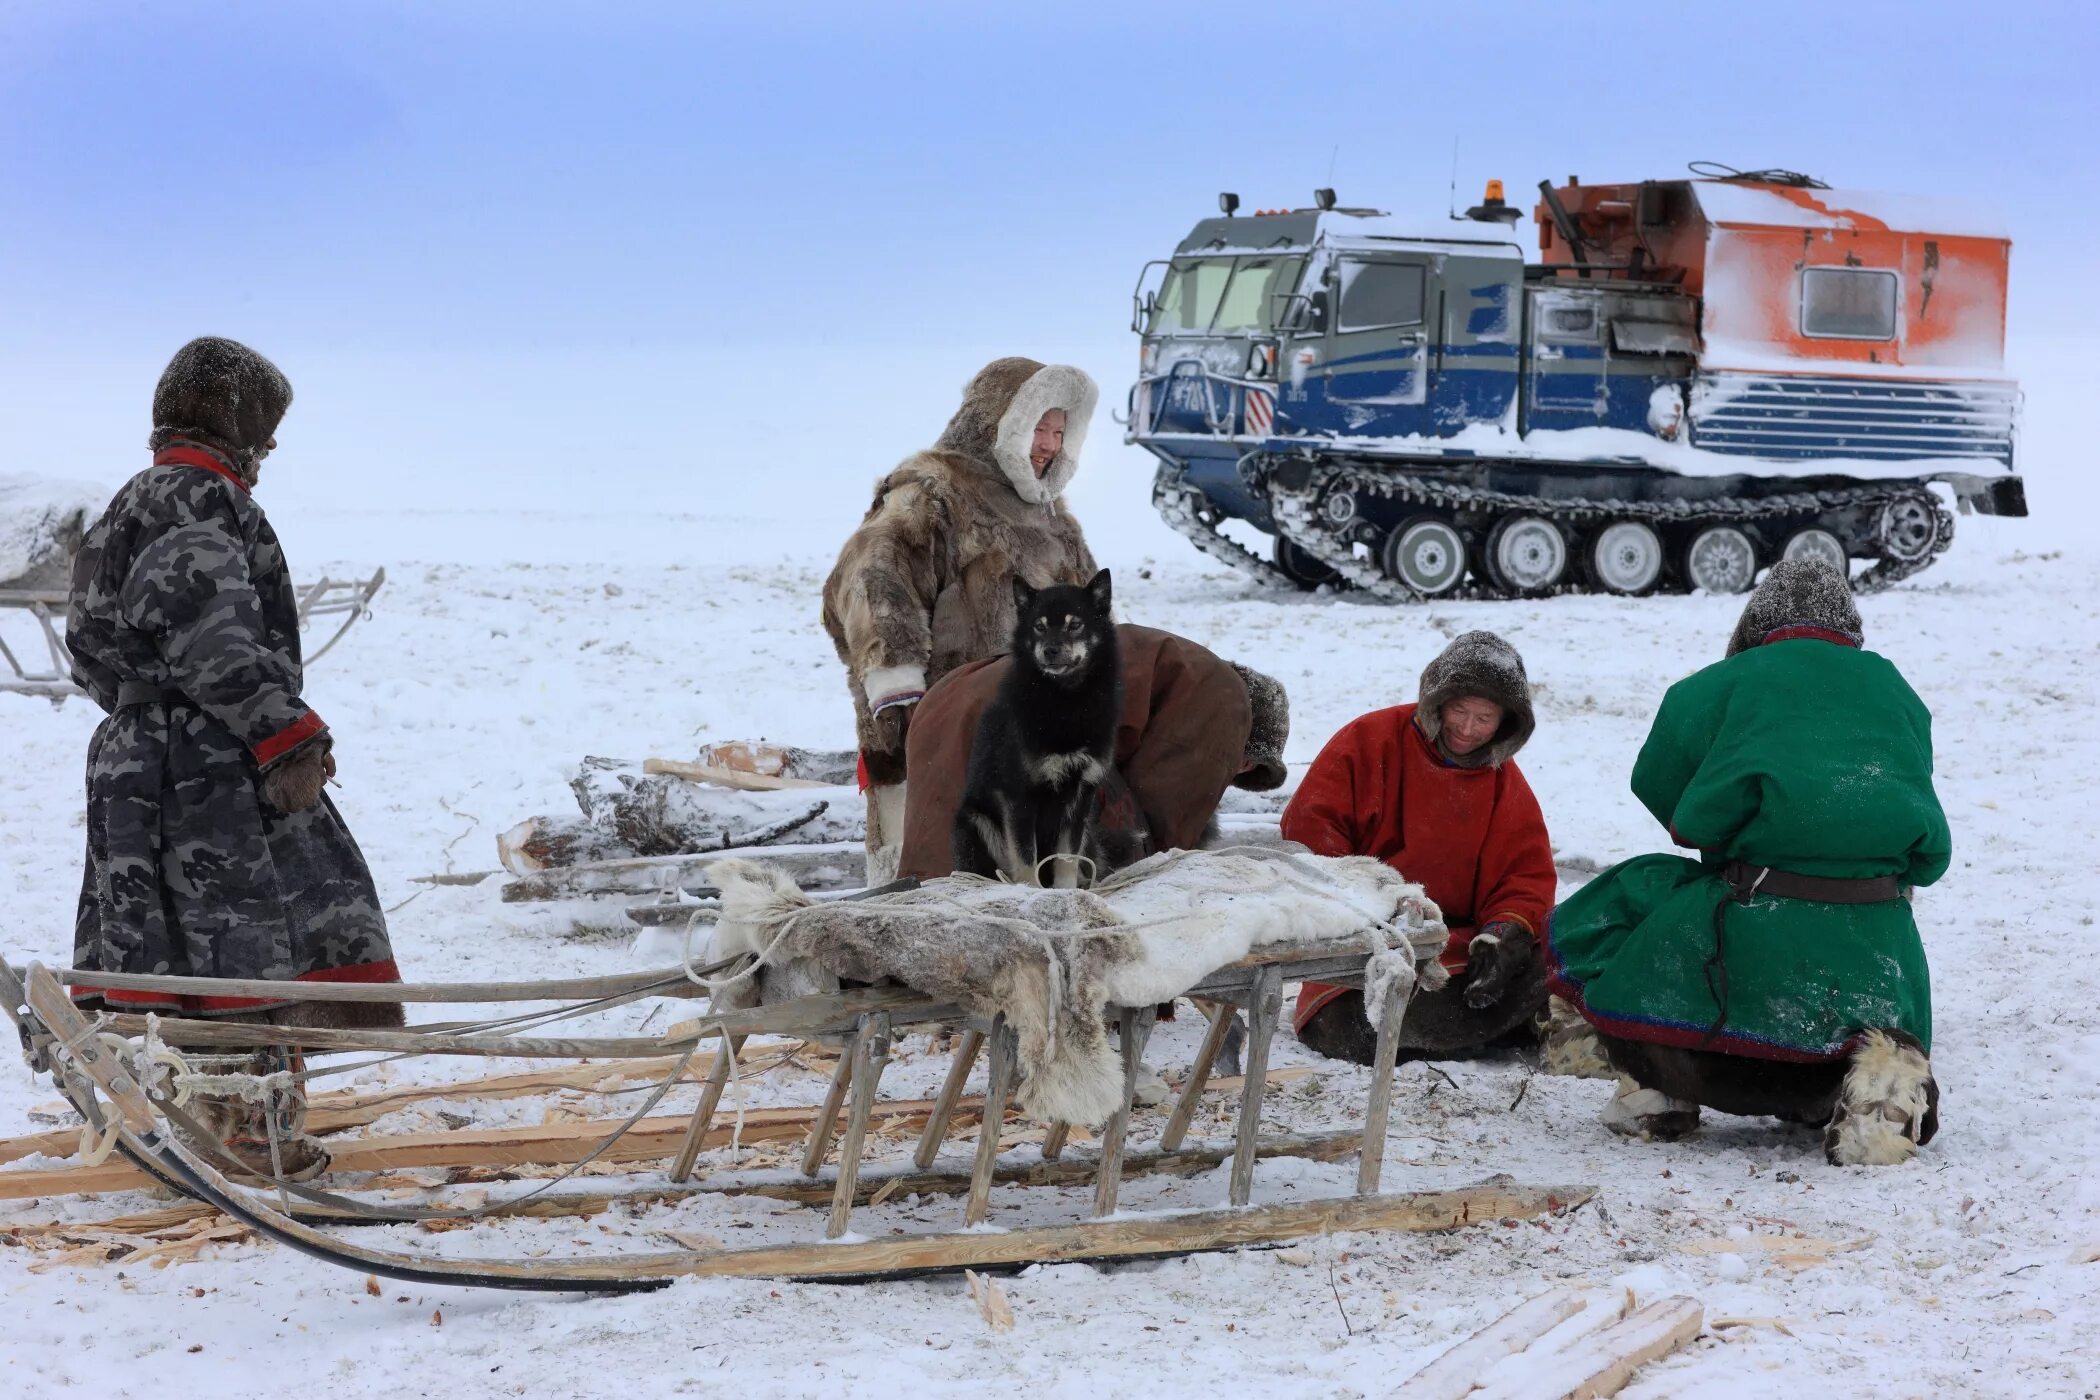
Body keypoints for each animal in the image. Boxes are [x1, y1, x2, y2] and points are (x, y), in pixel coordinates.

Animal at [953, 570, 1125, 894]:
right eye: (1039, 626)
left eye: (1075, 624)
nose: (1050, 650)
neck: (1065, 702)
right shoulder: (1019, 797)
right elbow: (1024, 857)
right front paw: (1030, 891)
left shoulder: (1080, 797)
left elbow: (1067, 857)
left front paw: (1066, 890)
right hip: (976, 820)